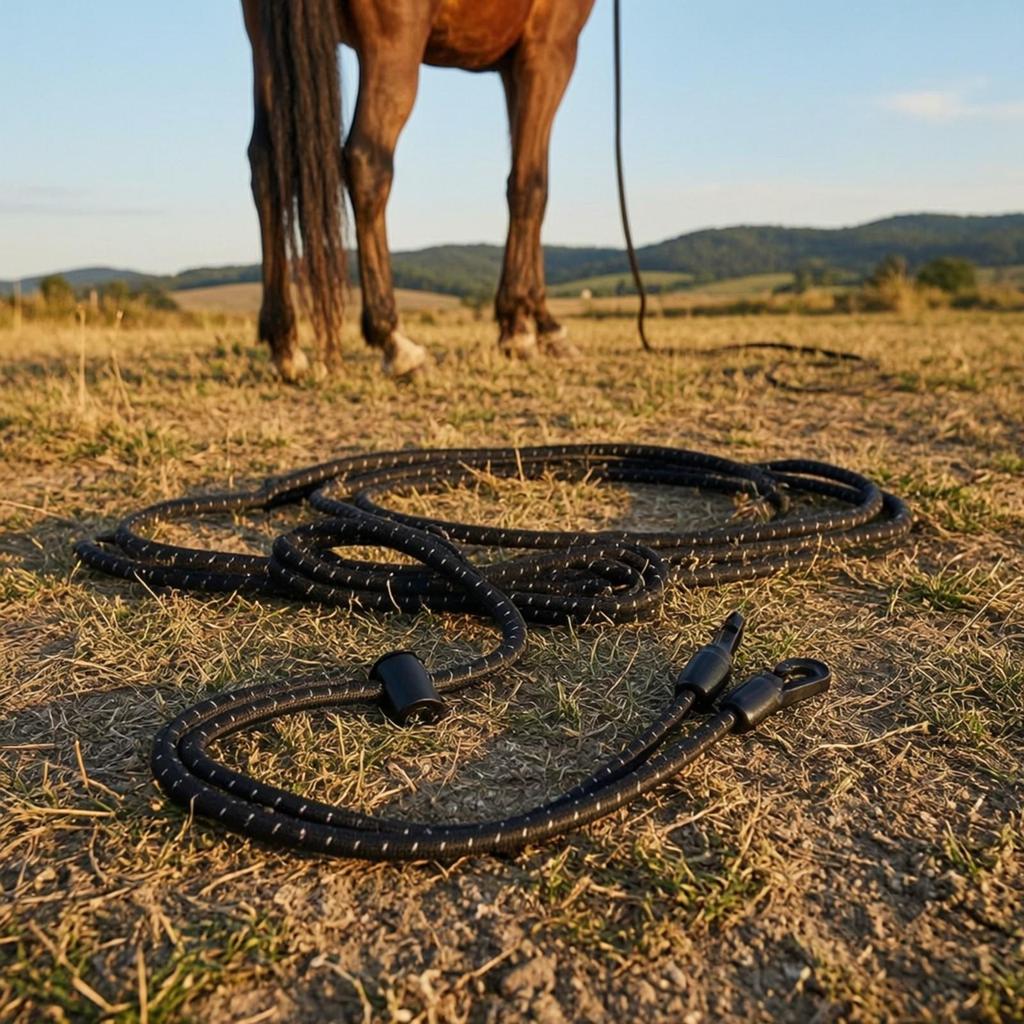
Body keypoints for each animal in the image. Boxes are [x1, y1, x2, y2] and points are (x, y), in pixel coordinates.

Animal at [242, 0, 596, 381]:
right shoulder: (549, 50)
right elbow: (531, 186)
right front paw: (522, 329)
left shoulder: (511, 67)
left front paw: (539, 322)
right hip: (394, 45)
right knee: (366, 161)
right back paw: (396, 342)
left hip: (264, 46)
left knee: (265, 164)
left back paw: (284, 345)